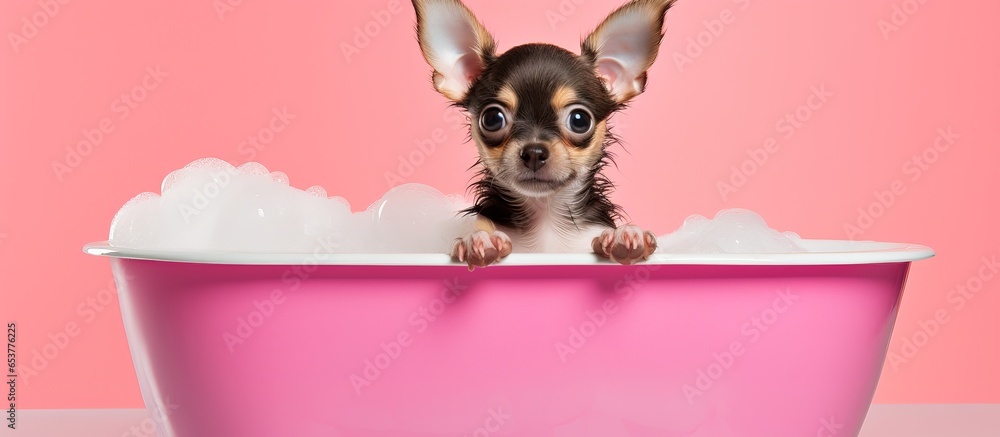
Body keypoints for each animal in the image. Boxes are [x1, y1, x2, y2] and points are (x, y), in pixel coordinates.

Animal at [410, 0, 676, 266]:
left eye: (580, 120)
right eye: (492, 119)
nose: (534, 152)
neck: (545, 217)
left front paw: (624, 235)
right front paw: (480, 240)